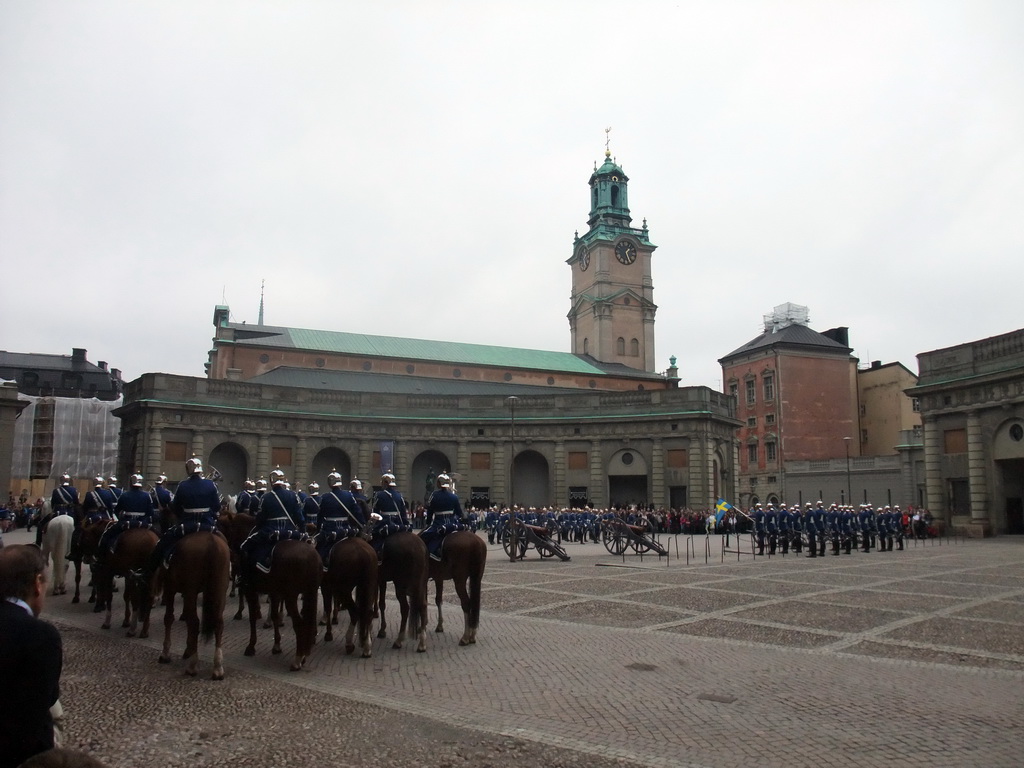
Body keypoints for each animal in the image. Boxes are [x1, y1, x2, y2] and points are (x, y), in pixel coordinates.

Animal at [142, 536, 232, 679]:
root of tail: (211, 540)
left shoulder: (170, 589)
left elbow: (169, 618)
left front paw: (165, 653)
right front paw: (188, 649)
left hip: (191, 590)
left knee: (194, 623)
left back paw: (192, 666)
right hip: (220, 590)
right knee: (218, 623)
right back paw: (217, 668)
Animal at [240, 536, 317, 671]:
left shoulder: (250, 589)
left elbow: (252, 617)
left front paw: (251, 646)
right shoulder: (274, 592)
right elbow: (274, 616)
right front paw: (276, 645)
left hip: (291, 596)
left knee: (299, 624)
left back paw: (297, 660)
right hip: (309, 594)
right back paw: (303, 655)